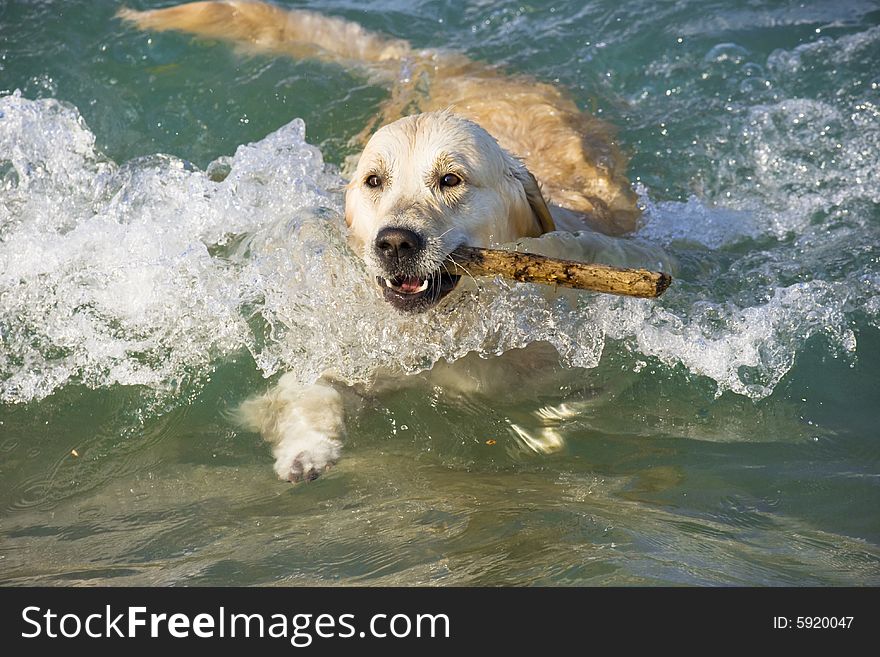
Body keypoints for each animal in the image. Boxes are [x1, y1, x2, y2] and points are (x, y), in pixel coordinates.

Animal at [122, 0, 660, 482]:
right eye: (374, 181)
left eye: (450, 179)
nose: (395, 243)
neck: (447, 331)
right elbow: (310, 391)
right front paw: (305, 452)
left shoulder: (581, 371)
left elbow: (566, 407)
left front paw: (542, 437)